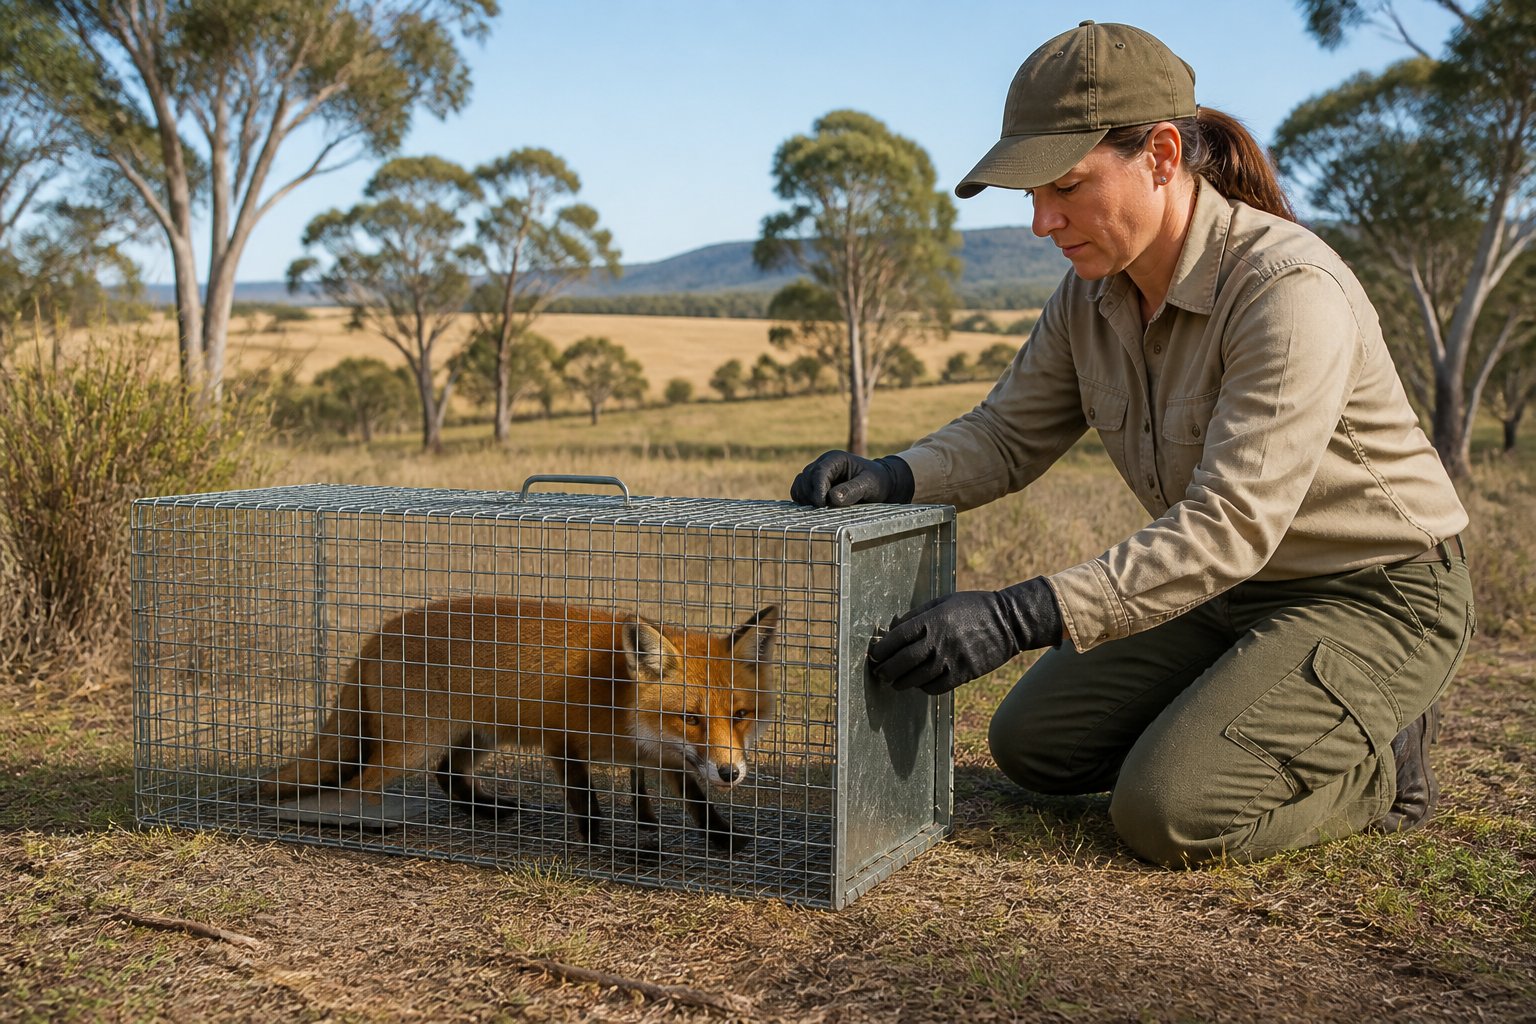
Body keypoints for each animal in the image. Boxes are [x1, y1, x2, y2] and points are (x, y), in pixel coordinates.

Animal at [259, 596, 779, 852]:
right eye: (691, 718)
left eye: (740, 716)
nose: (732, 773)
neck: (620, 700)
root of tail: (374, 637)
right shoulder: (564, 743)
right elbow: (588, 807)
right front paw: (607, 850)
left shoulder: (667, 756)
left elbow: (697, 801)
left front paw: (724, 838)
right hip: (415, 746)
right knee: (359, 784)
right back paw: (362, 824)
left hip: (476, 738)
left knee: (446, 774)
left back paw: (488, 809)